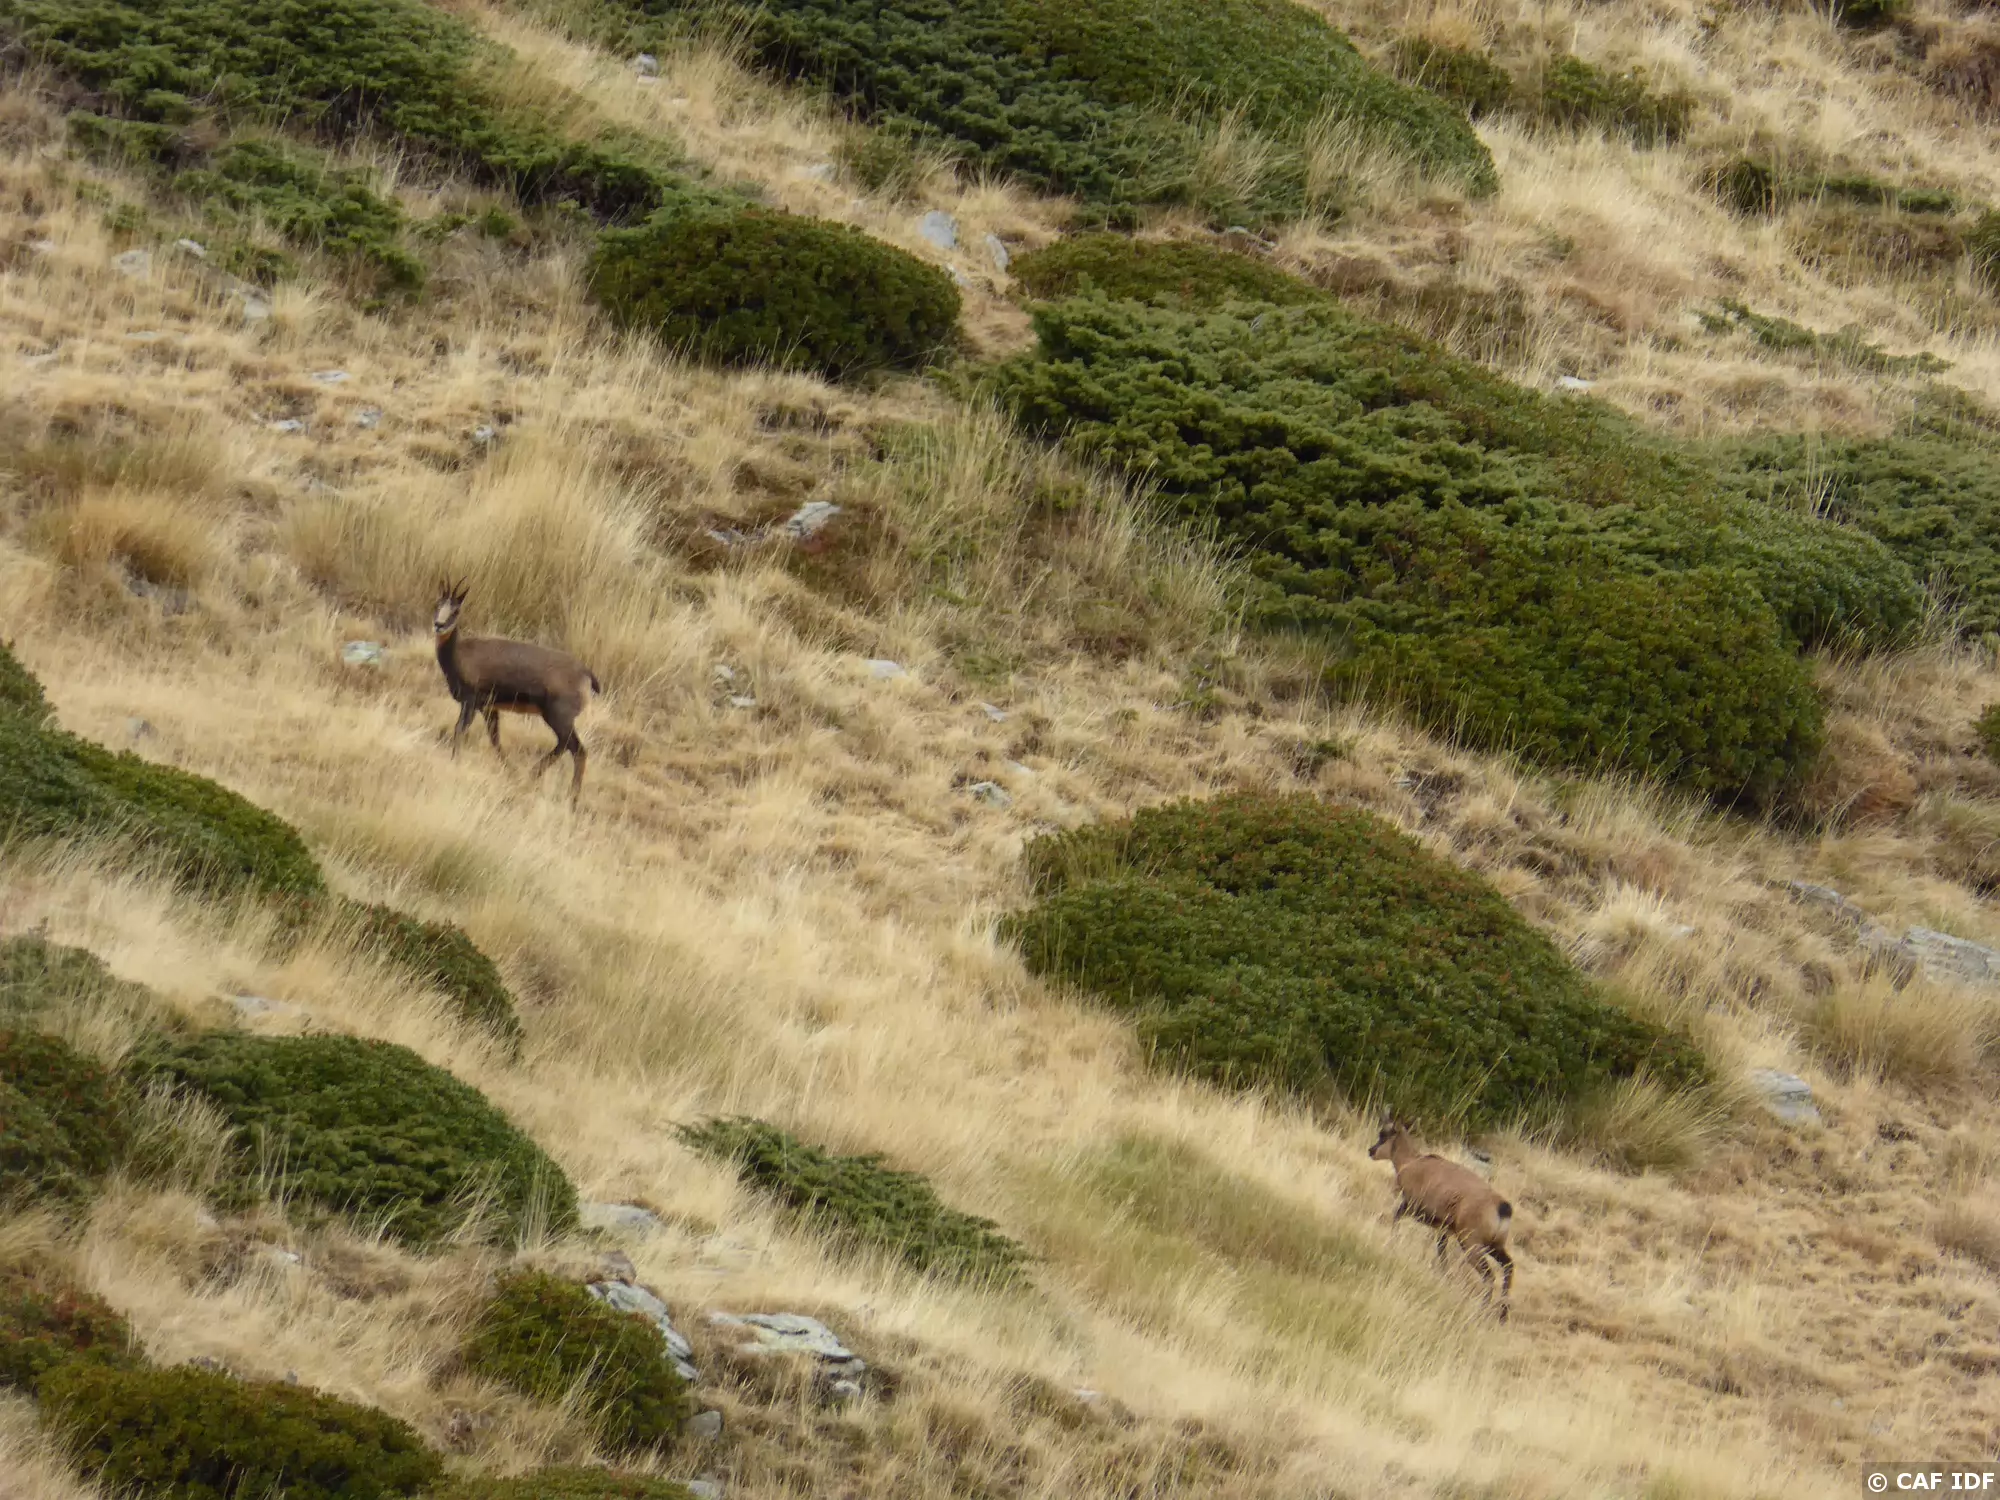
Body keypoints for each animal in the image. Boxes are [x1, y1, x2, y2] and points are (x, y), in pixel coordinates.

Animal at [431, 578, 600, 806]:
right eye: (438, 604)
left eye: (456, 609)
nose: (439, 625)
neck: (459, 654)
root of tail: (586, 674)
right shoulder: (488, 708)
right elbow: (495, 739)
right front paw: (510, 769)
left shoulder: (470, 701)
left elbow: (460, 729)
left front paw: (455, 760)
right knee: (566, 746)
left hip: (558, 718)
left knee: (577, 749)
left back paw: (569, 798)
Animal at [1369, 1117, 1515, 1323]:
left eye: (1384, 1134)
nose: (1371, 1151)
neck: (1412, 1163)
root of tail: (1502, 1207)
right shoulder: (1444, 1228)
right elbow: (1441, 1251)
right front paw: (1441, 1275)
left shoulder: (1414, 1208)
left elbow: (1396, 1217)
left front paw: (1393, 1243)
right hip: (1495, 1245)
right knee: (1508, 1266)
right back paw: (1502, 1313)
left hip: (1471, 1244)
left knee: (1489, 1276)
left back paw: (1483, 1310)